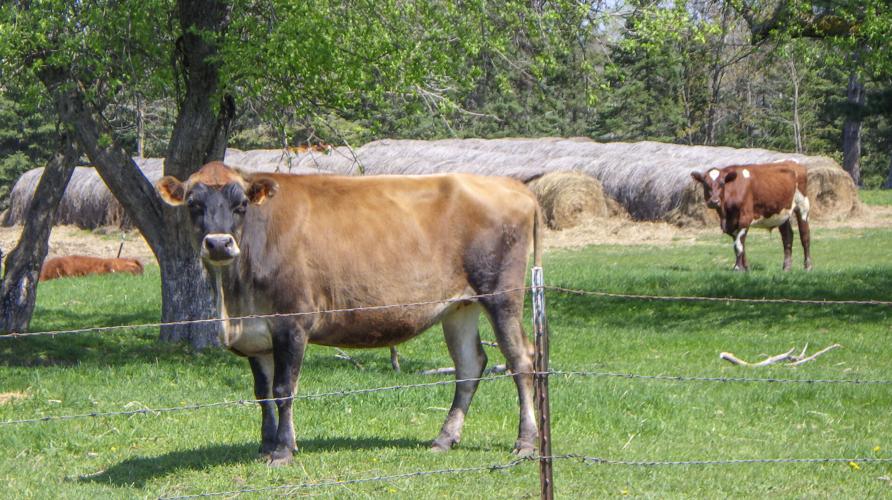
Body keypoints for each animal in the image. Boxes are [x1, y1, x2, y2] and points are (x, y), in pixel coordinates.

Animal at [155, 161, 542, 466]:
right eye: (193, 203)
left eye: (241, 204)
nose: (219, 244)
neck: (233, 301)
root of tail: (512, 185)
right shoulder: (257, 331)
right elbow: (262, 391)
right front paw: (266, 445)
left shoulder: (292, 322)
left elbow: (284, 388)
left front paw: (283, 450)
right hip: (460, 306)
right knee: (470, 365)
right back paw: (444, 439)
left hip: (502, 294)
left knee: (520, 359)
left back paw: (525, 442)